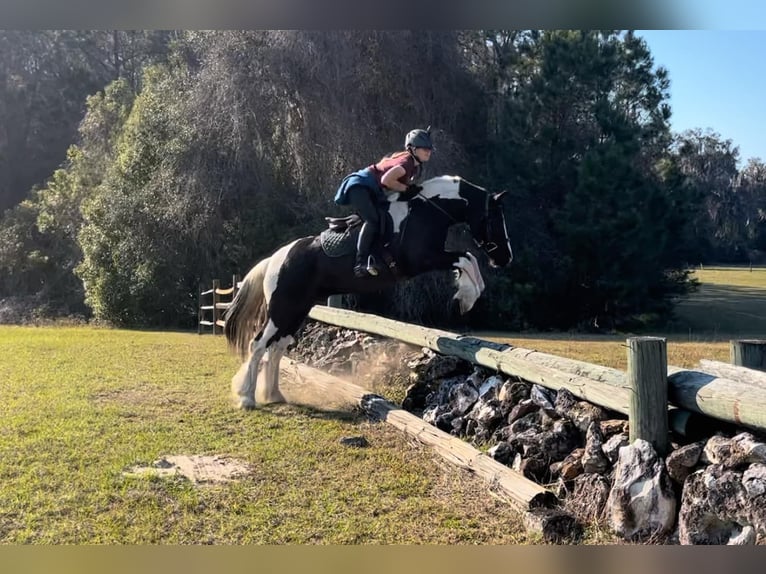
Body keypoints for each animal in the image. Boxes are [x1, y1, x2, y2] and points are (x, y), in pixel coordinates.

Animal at [225, 176, 512, 410]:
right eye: (496, 219)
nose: (505, 258)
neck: (424, 212)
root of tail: (275, 259)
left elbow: (469, 261)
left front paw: (469, 296)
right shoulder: (423, 260)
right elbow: (466, 259)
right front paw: (466, 298)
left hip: (297, 310)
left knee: (277, 347)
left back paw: (274, 394)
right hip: (282, 309)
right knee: (258, 344)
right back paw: (248, 398)